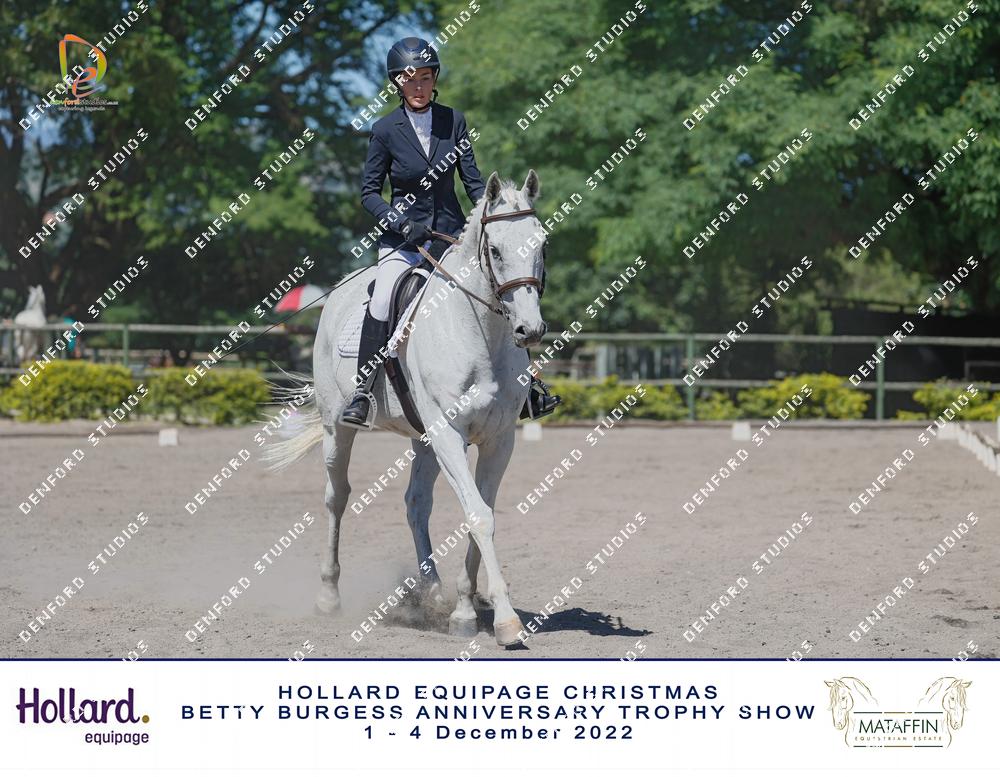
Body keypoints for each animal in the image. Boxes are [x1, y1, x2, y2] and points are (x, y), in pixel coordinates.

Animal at [266, 170, 548, 647]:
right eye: (494, 250)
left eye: (541, 243)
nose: (530, 330)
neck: (480, 334)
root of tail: (340, 291)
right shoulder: (450, 434)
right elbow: (478, 515)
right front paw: (507, 622)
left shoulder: (499, 440)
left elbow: (481, 513)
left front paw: (464, 610)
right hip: (337, 428)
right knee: (336, 498)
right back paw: (329, 596)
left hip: (423, 439)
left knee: (416, 503)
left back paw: (430, 593)